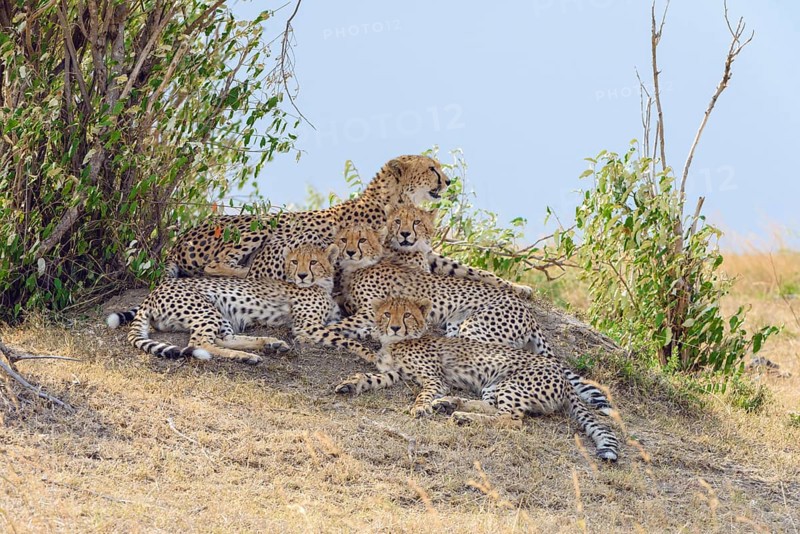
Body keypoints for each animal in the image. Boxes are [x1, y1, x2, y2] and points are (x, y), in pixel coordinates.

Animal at [106, 244, 376, 364]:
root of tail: (152, 294)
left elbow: (354, 328)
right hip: (206, 309)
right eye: (294, 262)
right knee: (200, 343)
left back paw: (268, 344)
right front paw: (371, 355)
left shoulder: (331, 320)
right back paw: (245, 355)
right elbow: (346, 339)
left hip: (221, 314)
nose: (301, 275)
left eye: (313, 262)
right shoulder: (306, 327)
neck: (321, 285)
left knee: (222, 338)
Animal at [165, 154, 450, 279]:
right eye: (431, 168)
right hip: (262, 223)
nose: (448, 181)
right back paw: (247, 269)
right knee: (213, 266)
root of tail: (178, 242)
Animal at [329, 208, 554, 358]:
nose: (350, 252)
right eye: (344, 240)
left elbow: (341, 324)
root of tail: (528, 315)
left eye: (362, 240)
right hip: (457, 324)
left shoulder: (372, 309)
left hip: (476, 329)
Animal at [335, 296, 620, 461]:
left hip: (513, 384)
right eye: (386, 314)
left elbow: (423, 393)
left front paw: (420, 407)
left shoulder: (434, 379)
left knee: (511, 420)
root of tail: (560, 372)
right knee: (494, 408)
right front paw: (351, 383)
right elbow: (371, 377)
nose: (394, 327)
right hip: (495, 385)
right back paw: (452, 404)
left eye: (407, 315)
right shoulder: (393, 373)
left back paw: (462, 415)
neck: (396, 342)